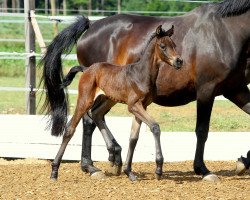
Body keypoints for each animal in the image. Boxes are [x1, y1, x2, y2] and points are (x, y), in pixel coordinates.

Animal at [50, 24, 183, 180]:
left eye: (174, 45)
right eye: (162, 46)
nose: (179, 61)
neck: (141, 74)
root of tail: (86, 69)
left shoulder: (142, 106)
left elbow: (133, 138)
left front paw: (129, 171)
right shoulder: (133, 106)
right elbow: (155, 127)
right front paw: (159, 169)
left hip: (108, 99)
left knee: (96, 115)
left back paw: (114, 155)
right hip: (85, 99)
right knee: (70, 128)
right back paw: (54, 171)